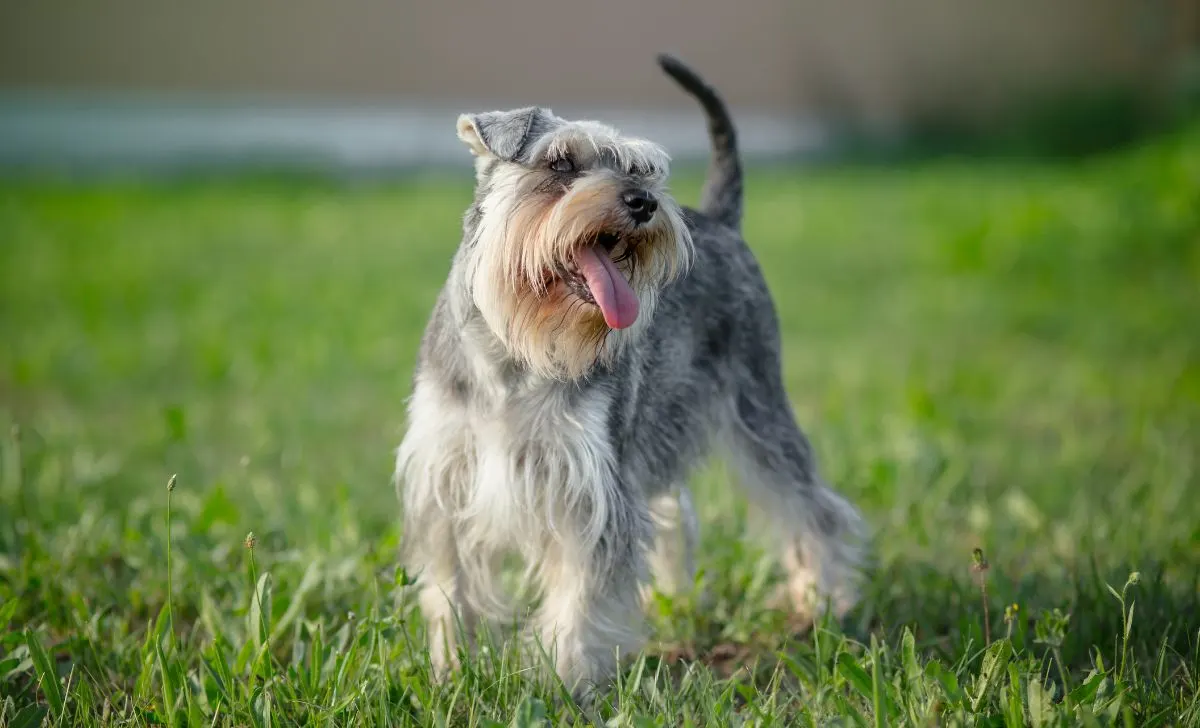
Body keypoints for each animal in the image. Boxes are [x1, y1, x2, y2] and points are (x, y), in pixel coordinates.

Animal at [398, 52, 868, 700]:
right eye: (560, 163)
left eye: (642, 169)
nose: (643, 202)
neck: (514, 354)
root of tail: (721, 220)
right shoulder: (446, 481)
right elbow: (450, 591)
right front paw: (451, 671)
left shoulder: (592, 490)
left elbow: (580, 597)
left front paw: (562, 683)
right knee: (676, 514)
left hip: (759, 410)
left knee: (810, 507)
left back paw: (823, 602)